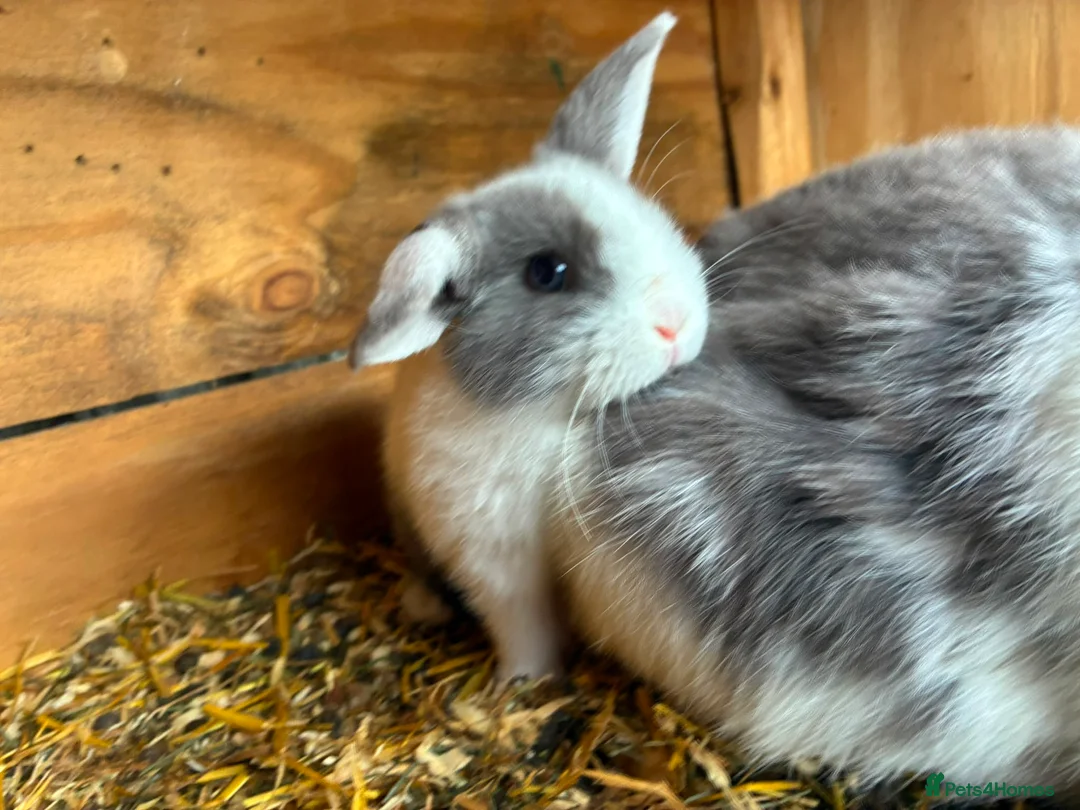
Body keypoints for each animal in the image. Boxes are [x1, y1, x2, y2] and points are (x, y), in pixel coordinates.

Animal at [347, 10, 1080, 797]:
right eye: (549, 272)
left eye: (649, 218)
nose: (674, 323)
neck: (544, 426)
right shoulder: (496, 567)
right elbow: (525, 633)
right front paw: (522, 686)